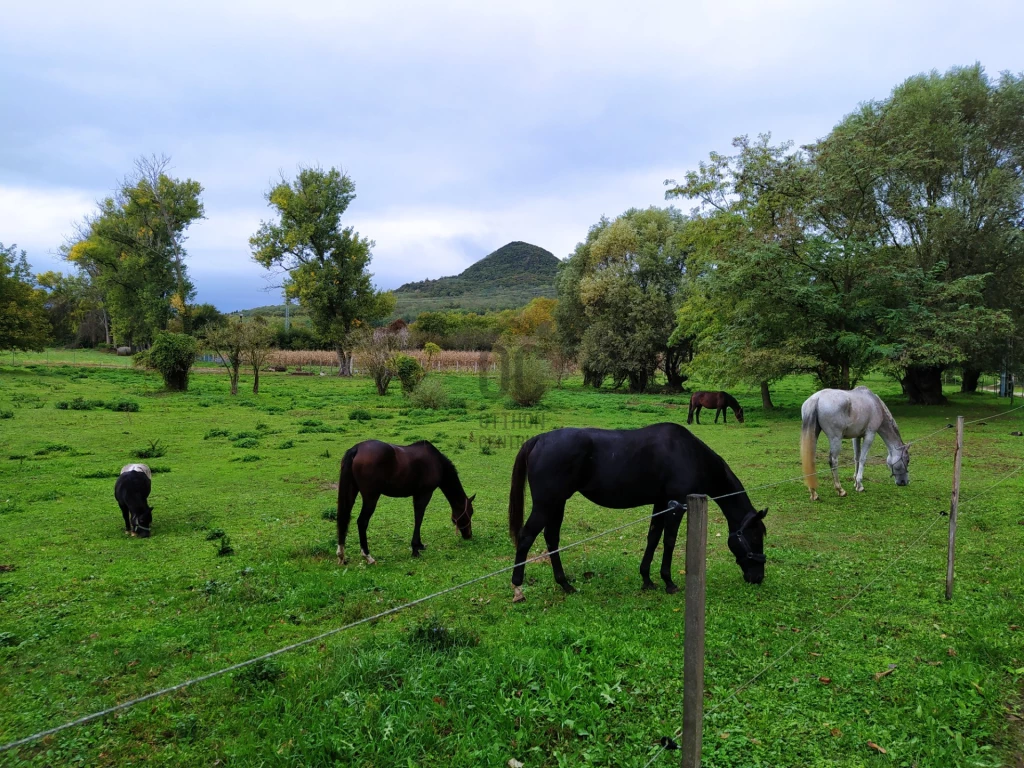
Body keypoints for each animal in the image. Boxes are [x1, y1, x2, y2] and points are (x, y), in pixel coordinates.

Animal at [337, 438, 477, 565]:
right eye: (470, 513)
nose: (469, 535)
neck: (436, 462)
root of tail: (357, 449)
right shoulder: (424, 494)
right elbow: (419, 518)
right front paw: (415, 549)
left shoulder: (417, 495)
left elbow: (418, 518)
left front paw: (419, 545)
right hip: (371, 498)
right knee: (362, 522)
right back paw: (367, 556)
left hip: (351, 492)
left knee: (344, 519)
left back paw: (341, 555)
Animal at [507, 423, 765, 606]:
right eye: (754, 537)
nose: (758, 577)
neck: (689, 454)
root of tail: (539, 439)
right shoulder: (677, 506)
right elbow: (669, 541)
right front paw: (669, 582)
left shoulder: (661, 504)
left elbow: (653, 538)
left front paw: (647, 579)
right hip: (546, 504)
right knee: (527, 537)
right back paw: (518, 587)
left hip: (556, 504)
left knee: (551, 538)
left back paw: (565, 585)